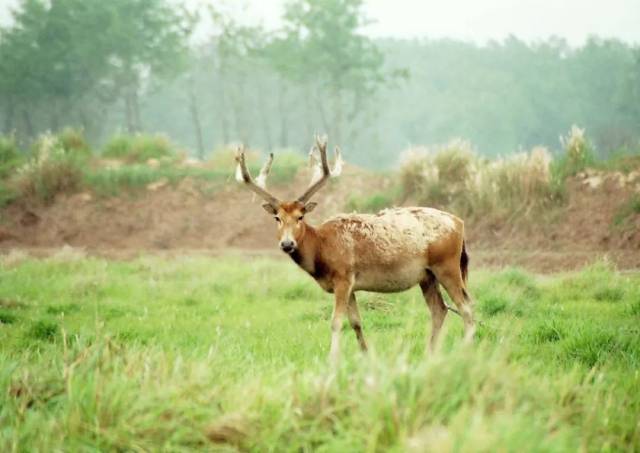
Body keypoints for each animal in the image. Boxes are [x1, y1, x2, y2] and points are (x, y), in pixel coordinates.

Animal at [235, 136, 476, 362]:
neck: (321, 250)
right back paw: (431, 354)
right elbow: (356, 323)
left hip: (447, 265)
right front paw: (365, 356)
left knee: (466, 307)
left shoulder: (343, 276)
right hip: (426, 276)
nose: (287, 244)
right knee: (440, 310)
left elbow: (336, 322)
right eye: (277, 218)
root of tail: (460, 225)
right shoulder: (350, 285)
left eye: (300, 216)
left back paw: (463, 352)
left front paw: (332, 359)